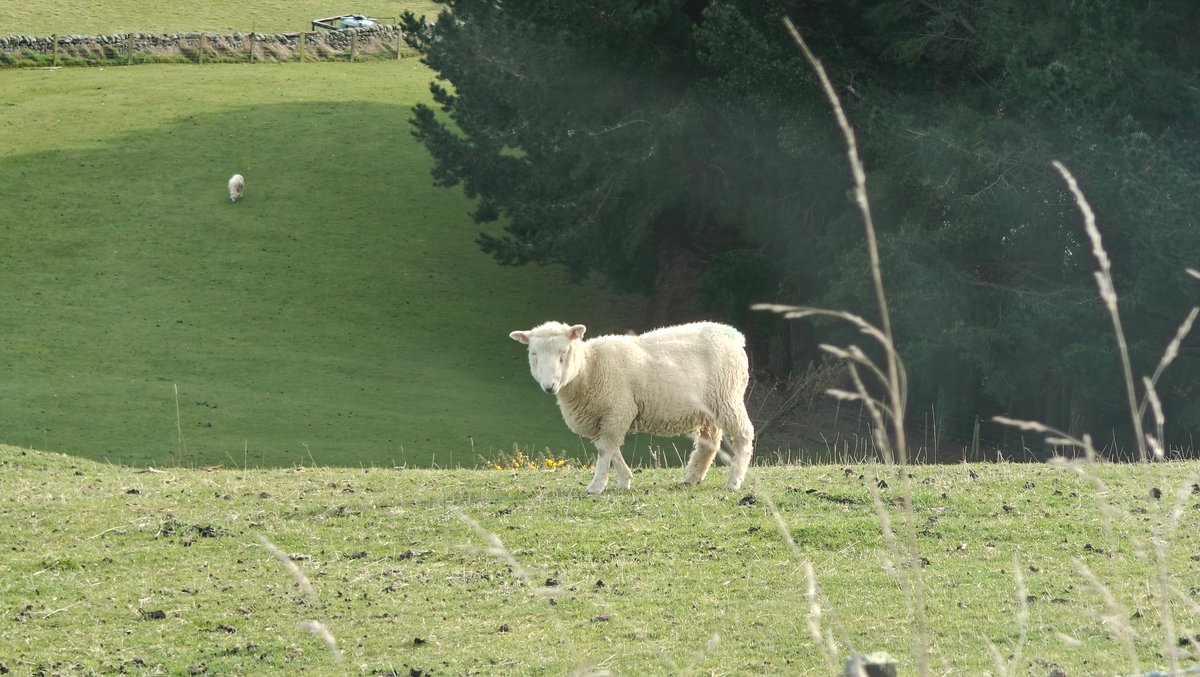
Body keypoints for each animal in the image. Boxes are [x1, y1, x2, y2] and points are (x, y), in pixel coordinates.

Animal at [509, 321, 755, 494]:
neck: (589, 367)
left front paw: (596, 486)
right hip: (709, 408)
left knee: (743, 435)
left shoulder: (618, 409)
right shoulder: (607, 416)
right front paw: (624, 479)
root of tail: (734, 335)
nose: (549, 387)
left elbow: (605, 449)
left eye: (563, 352)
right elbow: (610, 448)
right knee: (709, 443)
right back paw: (692, 478)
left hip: (728, 398)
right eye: (533, 353)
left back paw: (734, 481)